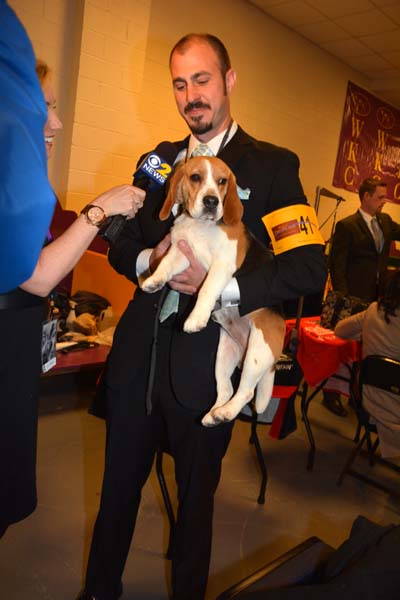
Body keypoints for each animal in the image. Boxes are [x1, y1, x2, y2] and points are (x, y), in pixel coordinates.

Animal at [142, 156, 286, 426]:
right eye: (195, 177)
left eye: (222, 181)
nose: (212, 202)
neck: (199, 225)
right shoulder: (181, 252)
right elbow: (165, 264)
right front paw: (154, 280)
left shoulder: (222, 265)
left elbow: (207, 289)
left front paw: (196, 318)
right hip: (224, 356)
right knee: (226, 389)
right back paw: (213, 414)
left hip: (257, 353)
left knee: (246, 391)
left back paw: (226, 412)